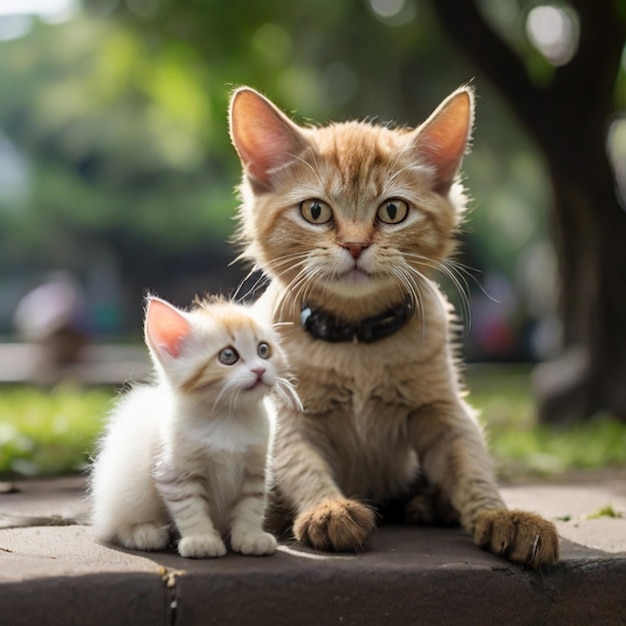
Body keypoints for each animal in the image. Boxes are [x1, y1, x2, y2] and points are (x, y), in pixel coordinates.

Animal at [89, 294, 298, 560]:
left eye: (264, 350)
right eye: (228, 356)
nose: (260, 369)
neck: (226, 419)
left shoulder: (254, 470)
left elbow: (250, 506)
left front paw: (250, 537)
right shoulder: (176, 473)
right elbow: (191, 509)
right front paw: (201, 541)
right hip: (126, 489)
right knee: (117, 526)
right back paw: (145, 534)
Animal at [227, 85, 560, 568]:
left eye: (393, 211)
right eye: (315, 211)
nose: (354, 244)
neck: (356, 342)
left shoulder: (445, 410)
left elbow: (471, 463)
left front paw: (502, 516)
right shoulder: (289, 416)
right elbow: (299, 462)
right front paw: (328, 509)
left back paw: (433, 504)